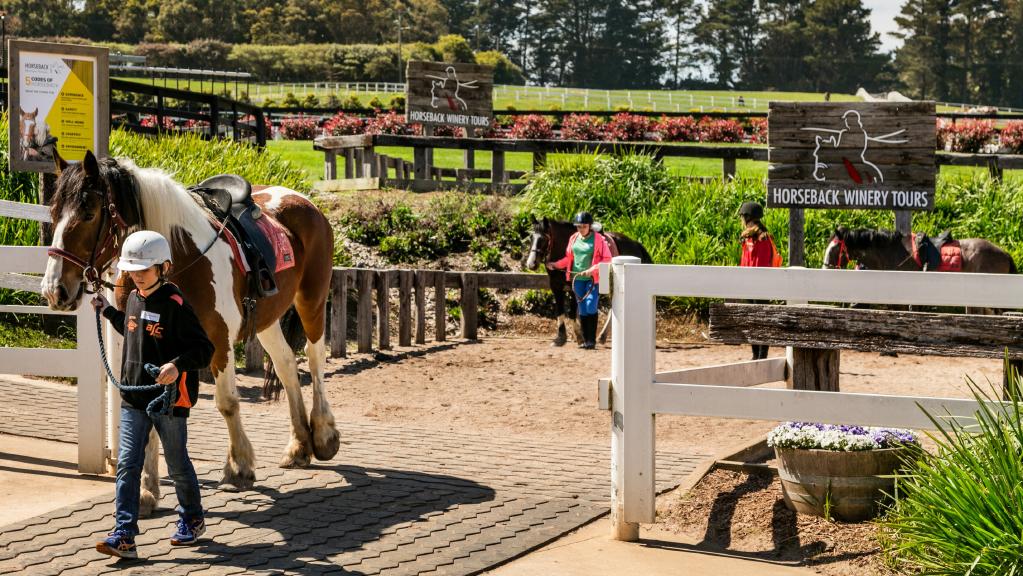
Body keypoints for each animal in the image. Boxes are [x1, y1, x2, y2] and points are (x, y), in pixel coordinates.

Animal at [41, 152, 337, 509]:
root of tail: (302, 200)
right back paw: (299, 446)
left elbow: (227, 402)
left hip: (312, 300)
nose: (54, 290)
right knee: (287, 365)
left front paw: (238, 467)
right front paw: (146, 489)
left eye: (88, 213)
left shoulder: (219, 339)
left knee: (315, 359)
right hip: (268, 320)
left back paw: (324, 434)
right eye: (54, 213)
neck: (179, 258)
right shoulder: (140, 341)